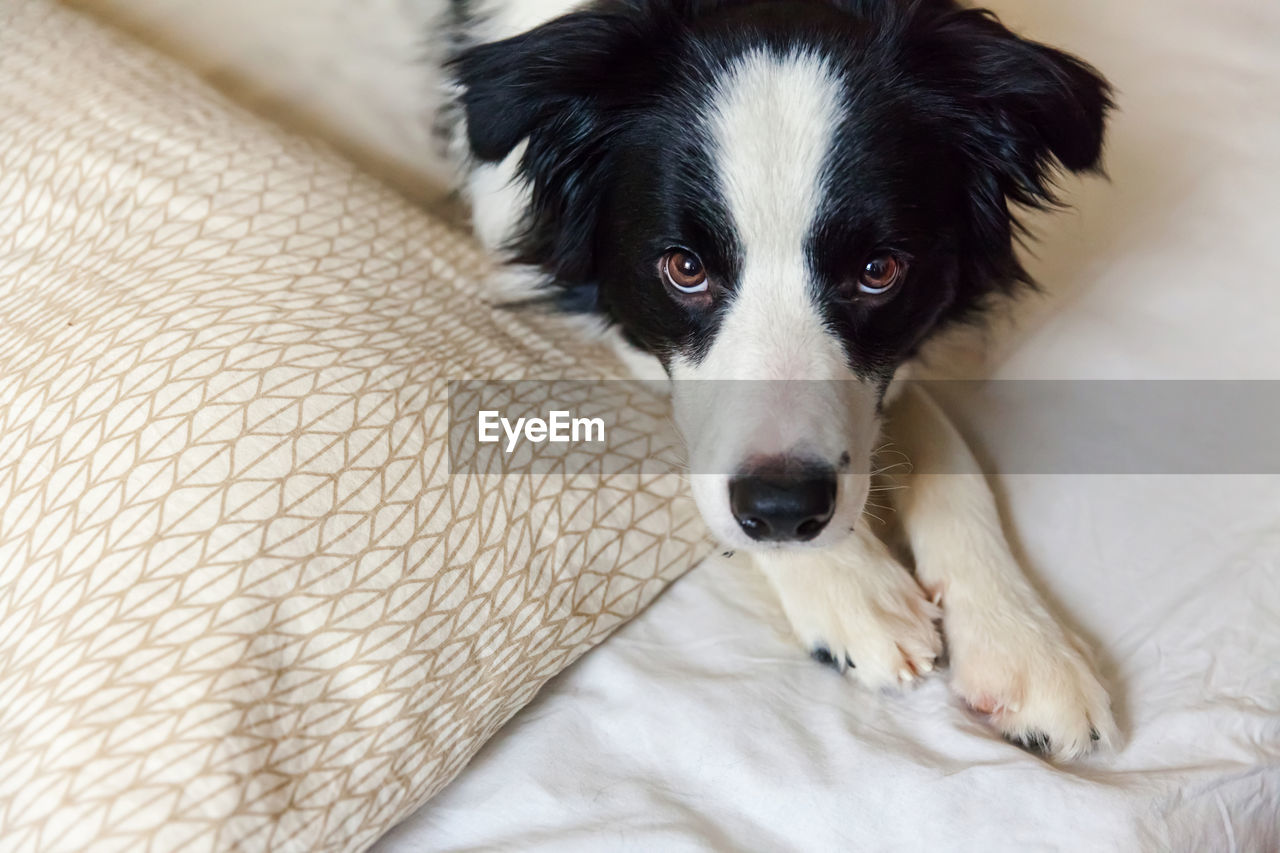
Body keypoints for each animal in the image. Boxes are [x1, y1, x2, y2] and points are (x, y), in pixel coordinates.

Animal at [435, 0, 1116, 758]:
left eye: (879, 270)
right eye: (684, 267)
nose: (787, 510)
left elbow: (947, 452)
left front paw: (1026, 642)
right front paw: (852, 586)